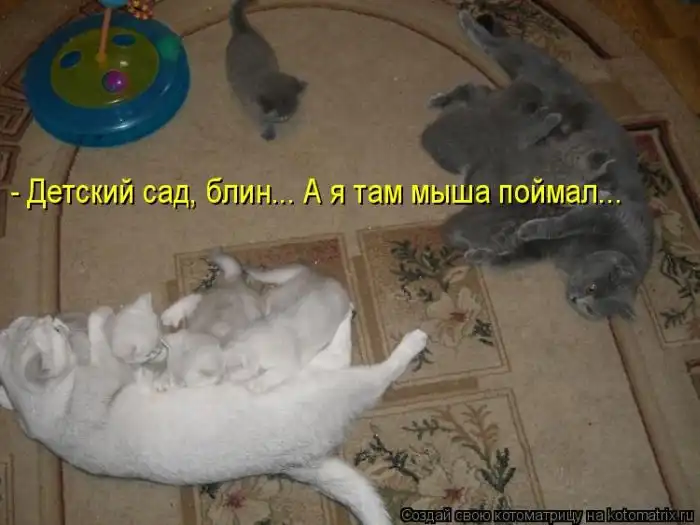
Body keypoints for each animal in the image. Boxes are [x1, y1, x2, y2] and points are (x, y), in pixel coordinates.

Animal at [0, 307, 428, 525]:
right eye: (44, 328)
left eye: (23, 323)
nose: (48, 316)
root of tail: (300, 462)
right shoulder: (101, 377)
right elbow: (103, 348)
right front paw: (94, 325)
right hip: (325, 381)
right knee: (366, 367)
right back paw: (403, 338)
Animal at [226, 0, 308, 141]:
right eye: (279, 114)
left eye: (291, 111)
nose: (285, 118)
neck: (265, 78)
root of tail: (242, 31)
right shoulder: (254, 107)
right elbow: (263, 120)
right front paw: (269, 130)